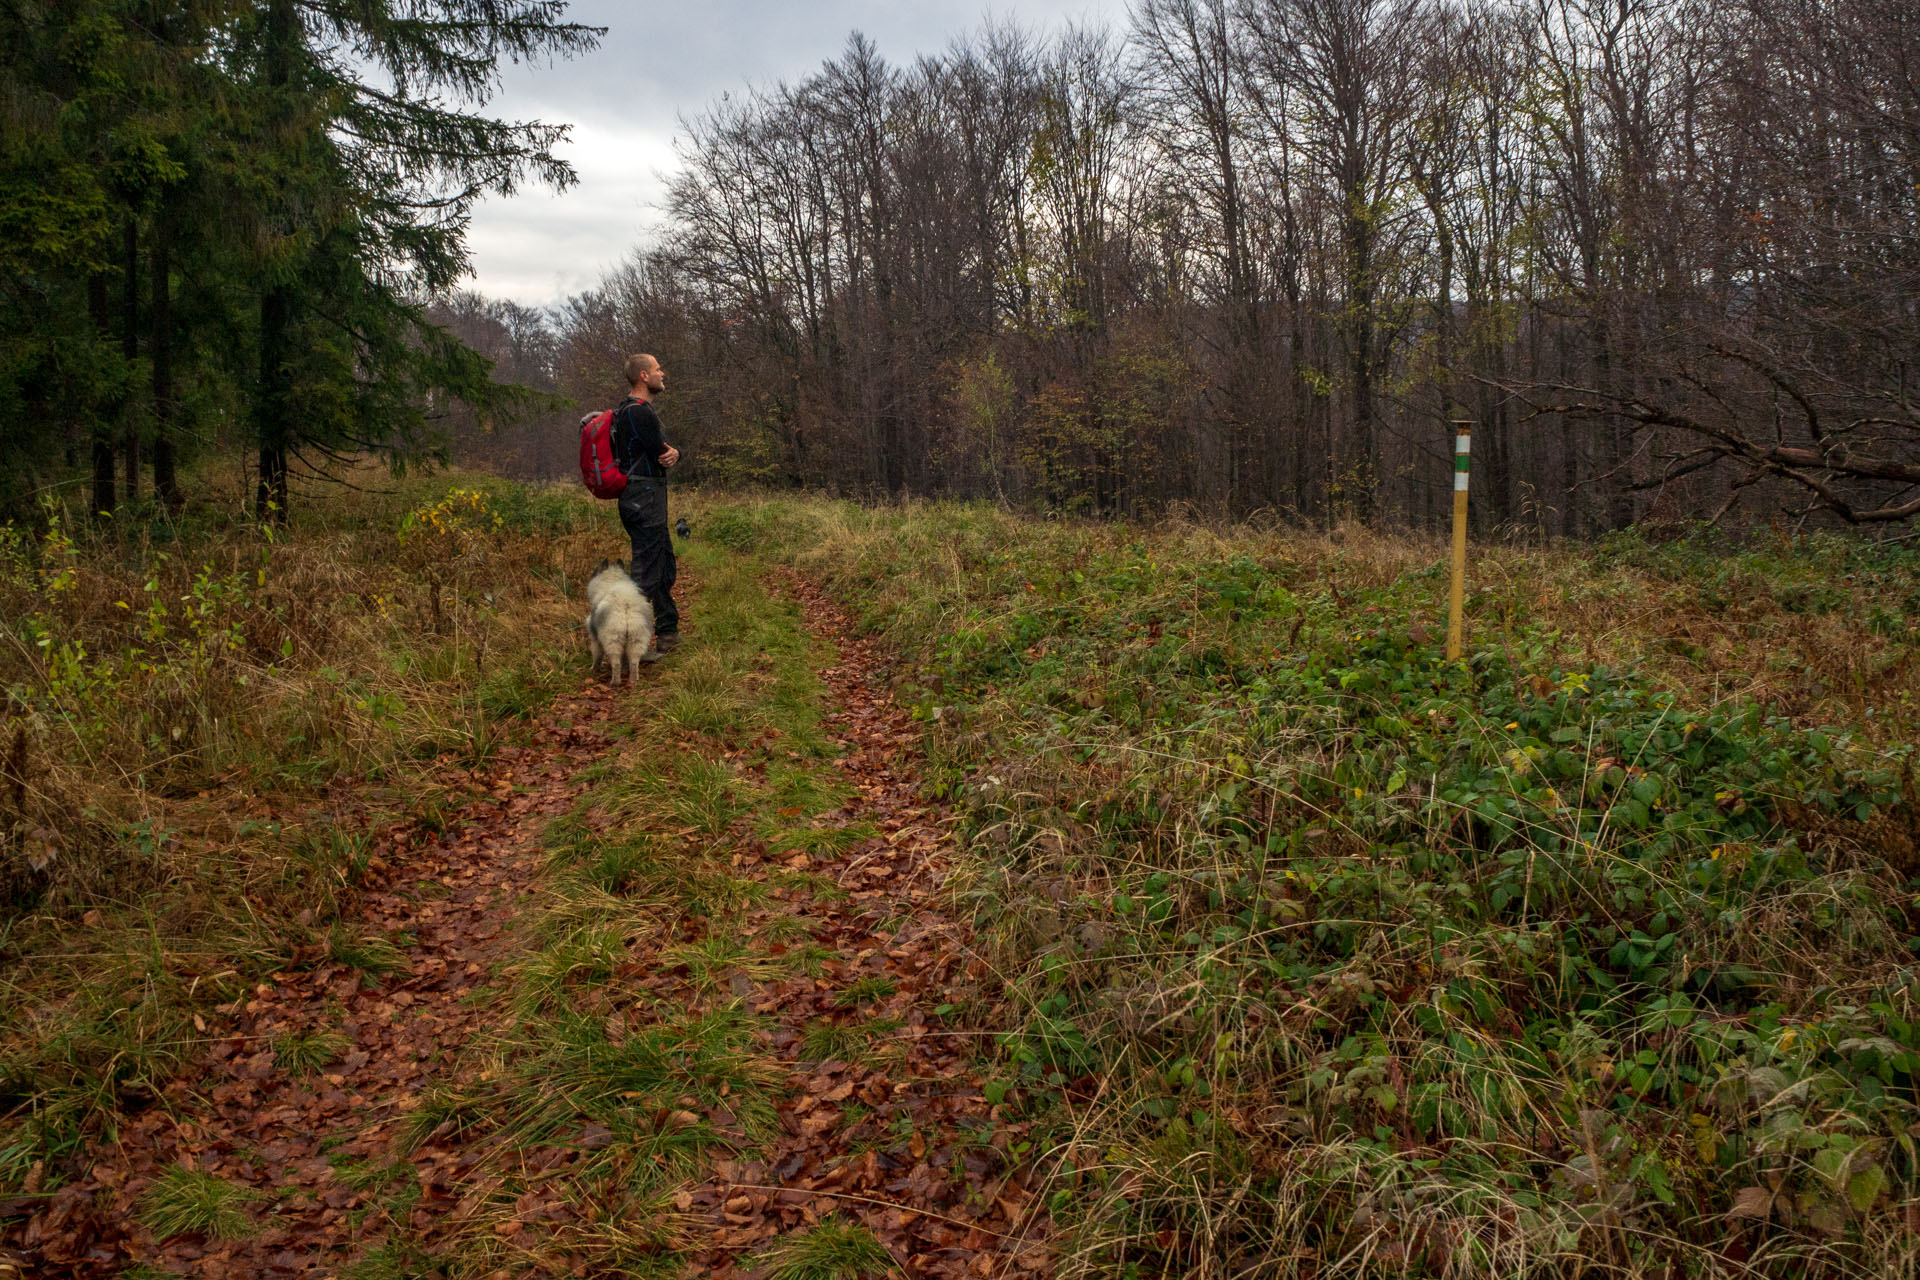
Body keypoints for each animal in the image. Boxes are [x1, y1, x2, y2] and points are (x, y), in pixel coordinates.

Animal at [583, 556, 660, 687]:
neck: (612, 580)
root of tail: (625, 606)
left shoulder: (595, 638)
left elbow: (597, 655)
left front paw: (593, 668)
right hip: (636, 639)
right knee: (634, 663)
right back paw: (633, 680)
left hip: (613, 640)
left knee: (616, 663)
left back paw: (615, 682)